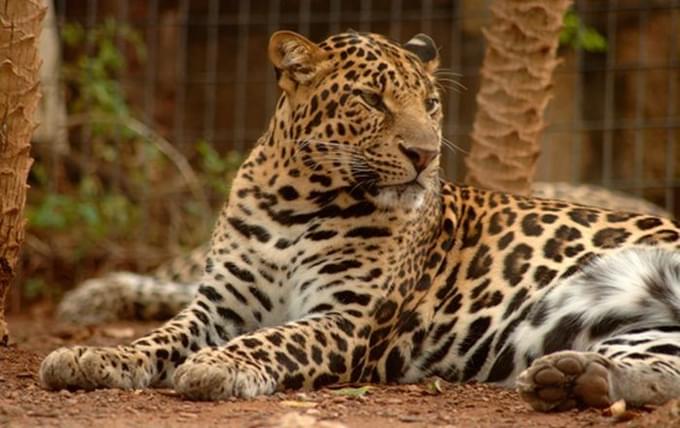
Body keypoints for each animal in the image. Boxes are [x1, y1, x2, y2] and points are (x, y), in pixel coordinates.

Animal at [39, 29, 680, 412]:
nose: (425, 154)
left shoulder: (346, 319)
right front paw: (94, 357)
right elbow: (161, 335)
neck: (294, 202)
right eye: (371, 100)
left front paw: (221, 365)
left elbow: (275, 338)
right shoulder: (218, 305)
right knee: (662, 373)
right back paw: (572, 377)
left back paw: (572, 380)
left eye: (430, 104)